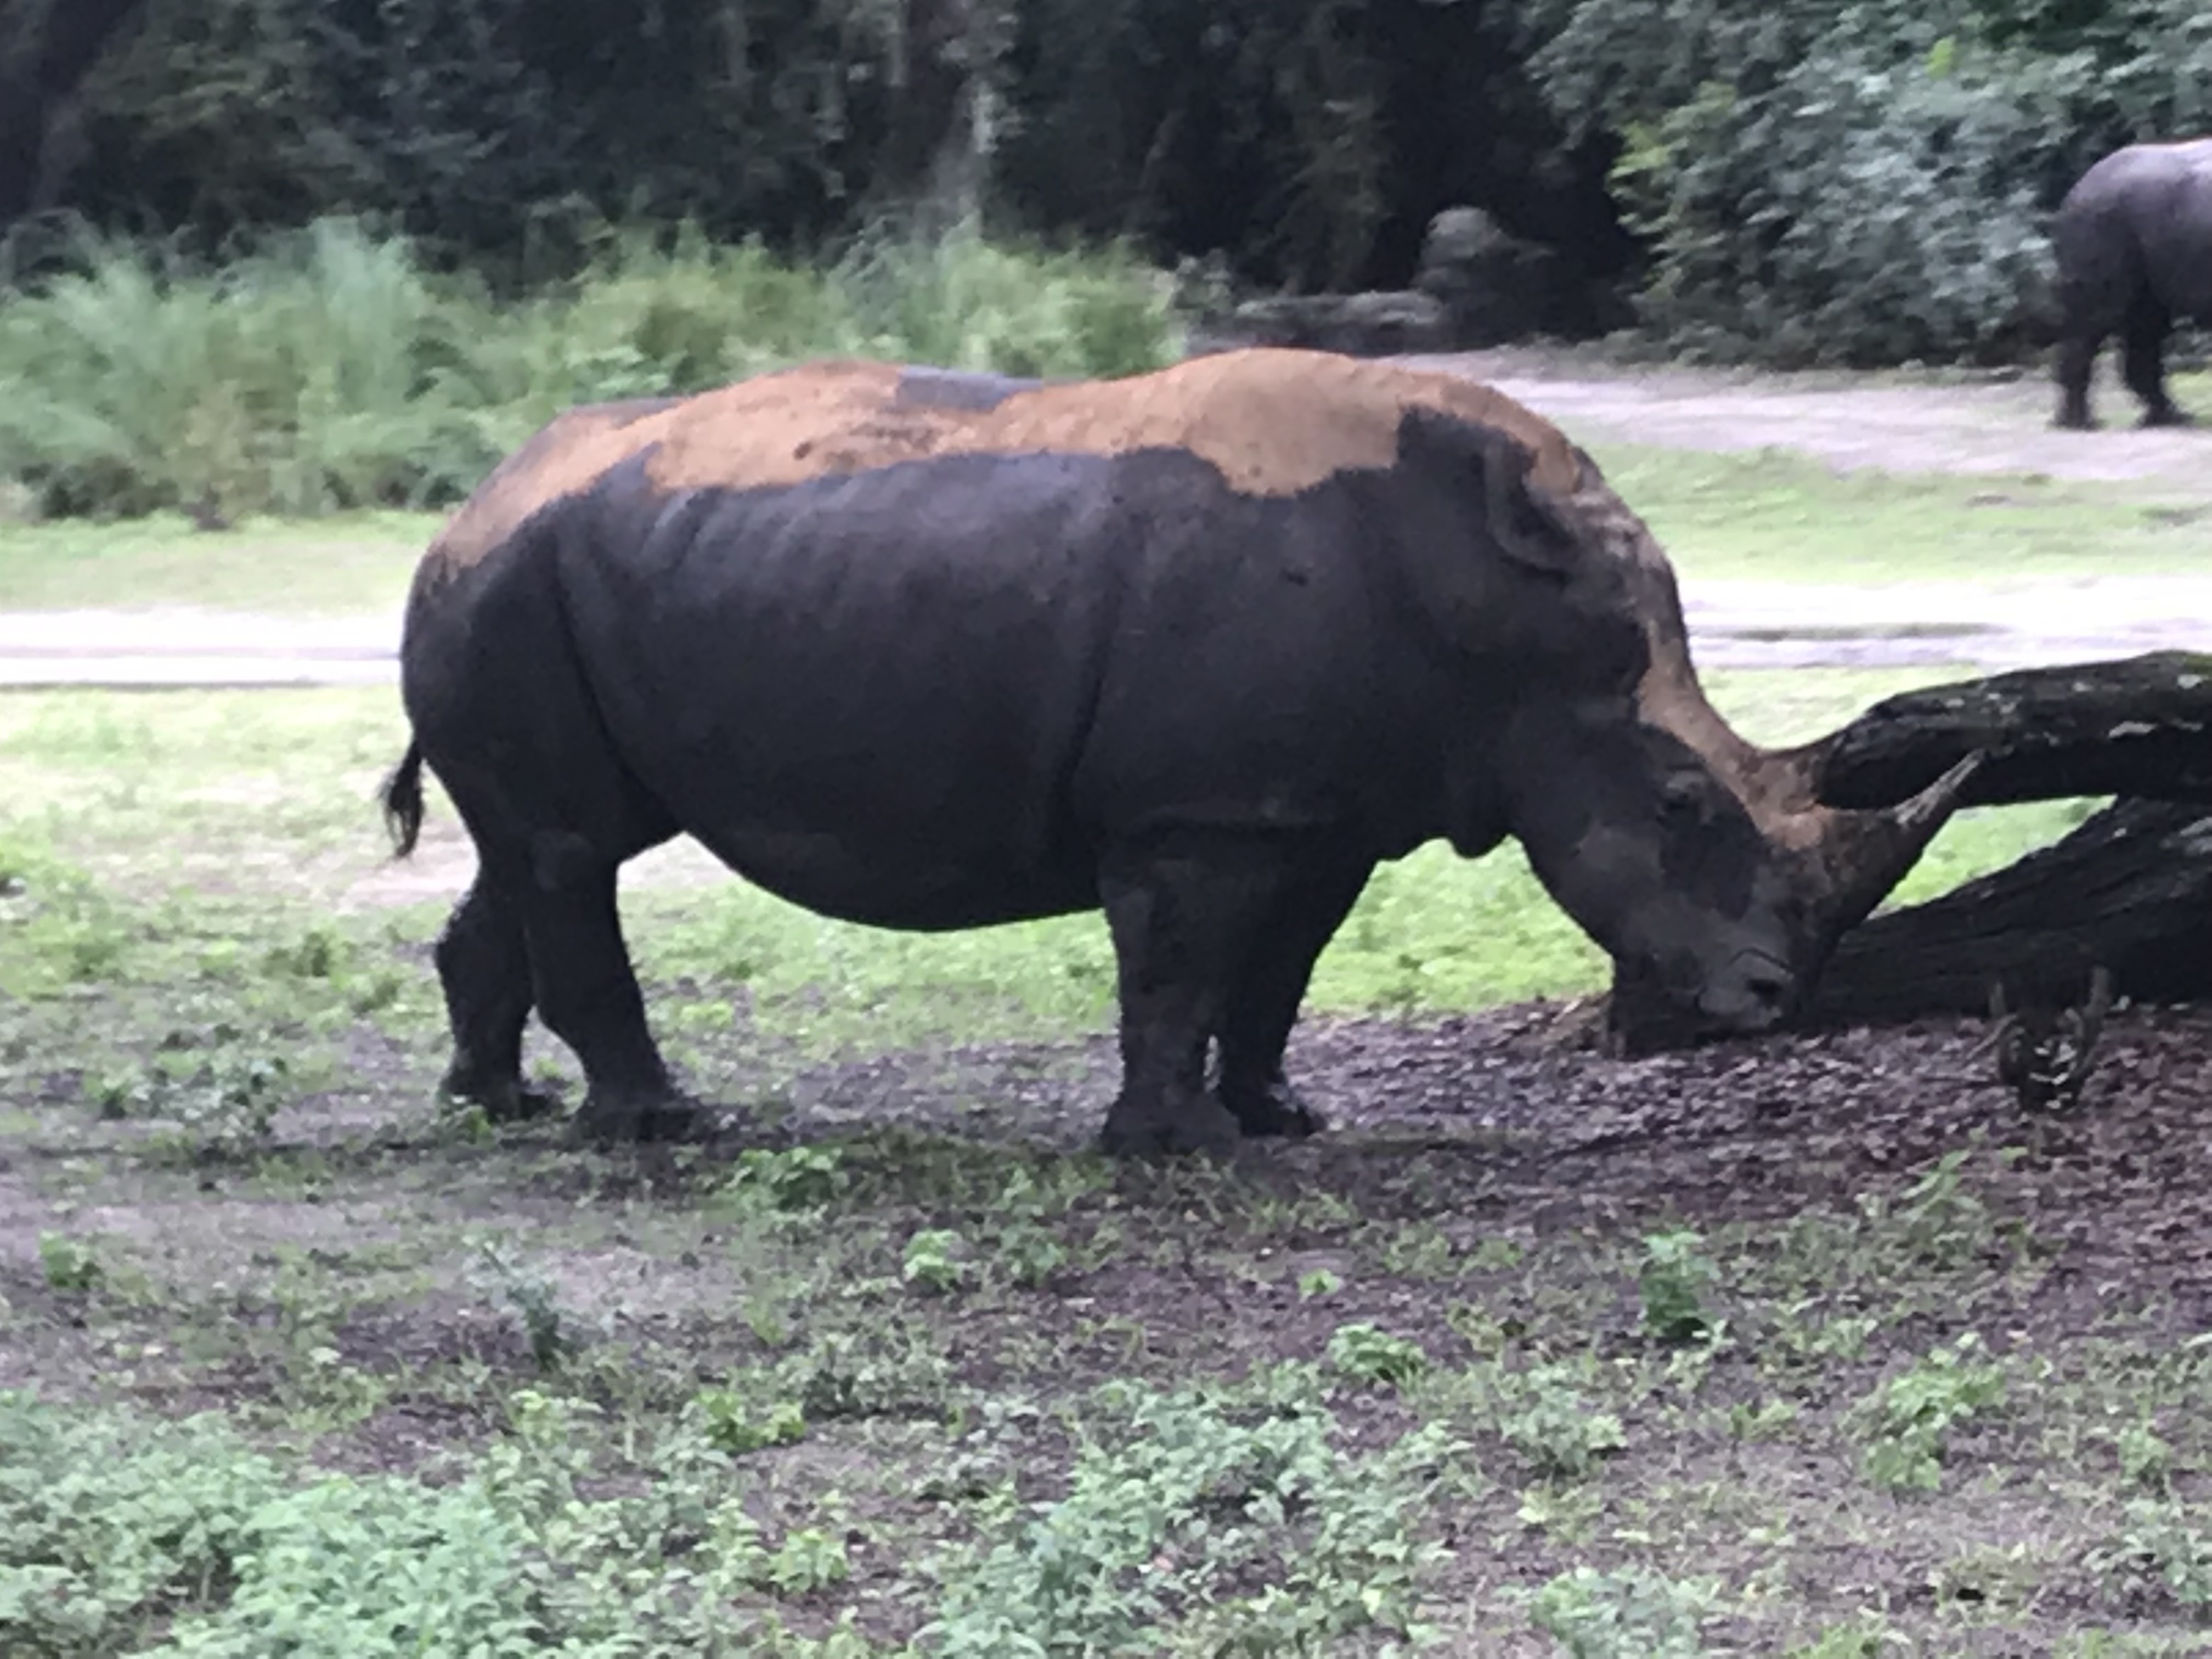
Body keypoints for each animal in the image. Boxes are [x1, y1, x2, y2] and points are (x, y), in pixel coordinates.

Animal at [380, 349, 1975, 1154]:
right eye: (1681, 800)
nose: (1770, 1000)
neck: (1497, 607)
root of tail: (470, 498)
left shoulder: (1323, 810)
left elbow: (1279, 972)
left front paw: (1280, 1117)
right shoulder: (1195, 808)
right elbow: (1177, 965)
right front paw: (1170, 1147)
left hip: (559, 579)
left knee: (546, 847)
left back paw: (496, 1106)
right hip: (510, 590)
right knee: (571, 853)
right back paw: (662, 1129)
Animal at [2052, 138, 2212, 429]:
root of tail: (2077, 189)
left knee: (2147, 321)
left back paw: (2168, 417)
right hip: (2103, 222)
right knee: (2099, 317)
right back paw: (2082, 423)